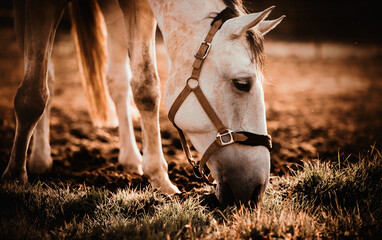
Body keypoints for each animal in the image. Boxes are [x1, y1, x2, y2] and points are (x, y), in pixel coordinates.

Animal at [1, 0, 282, 205]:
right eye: (242, 83)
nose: (257, 189)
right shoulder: (38, 7)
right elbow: (32, 95)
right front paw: (14, 178)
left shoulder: (139, 8)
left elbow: (145, 87)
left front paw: (159, 177)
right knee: (46, 78)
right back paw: (39, 158)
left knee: (117, 81)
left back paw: (130, 157)